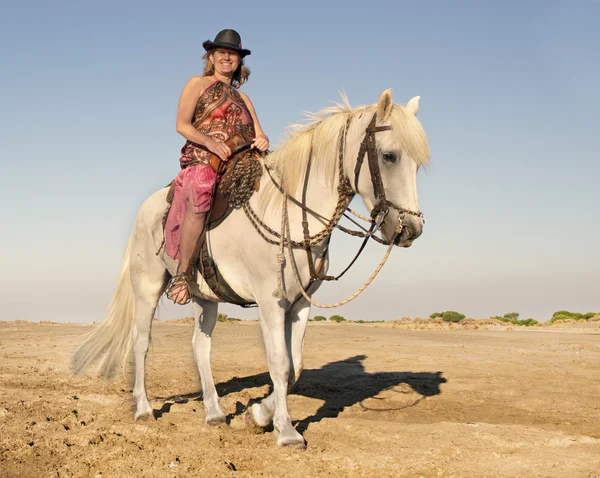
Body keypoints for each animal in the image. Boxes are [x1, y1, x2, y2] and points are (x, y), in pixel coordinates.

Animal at [72, 88, 432, 448]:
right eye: (389, 156)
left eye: (417, 164)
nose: (410, 230)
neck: (291, 212)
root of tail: (146, 209)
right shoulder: (270, 301)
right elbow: (280, 362)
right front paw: (285, 431)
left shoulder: (299, 304)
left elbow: (295, 366)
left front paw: (256, 415)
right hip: (147, 285)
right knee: (142, 342)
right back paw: (144, 409)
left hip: (205, 298)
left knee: (200, 345)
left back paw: (214, 413)